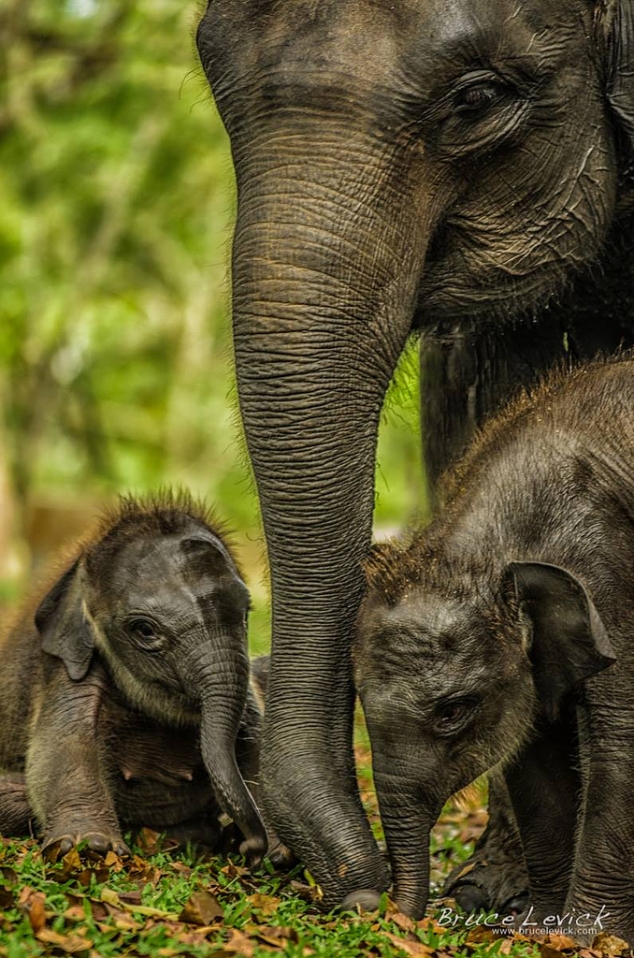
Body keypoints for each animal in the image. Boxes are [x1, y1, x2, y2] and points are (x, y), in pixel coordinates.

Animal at [0, 496, 266, 864]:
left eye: (245, 613)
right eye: (145, 630)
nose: (250, 847)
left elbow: (256, 735)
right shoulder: (66, 666)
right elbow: (63, 746)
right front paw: (90, 846)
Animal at [354, 358, 632, 944]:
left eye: (452, 712)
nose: (379, 911)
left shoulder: (611, 576)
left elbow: (619, 743)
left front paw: (583, 941)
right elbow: (531, 753)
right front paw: (533, 929)